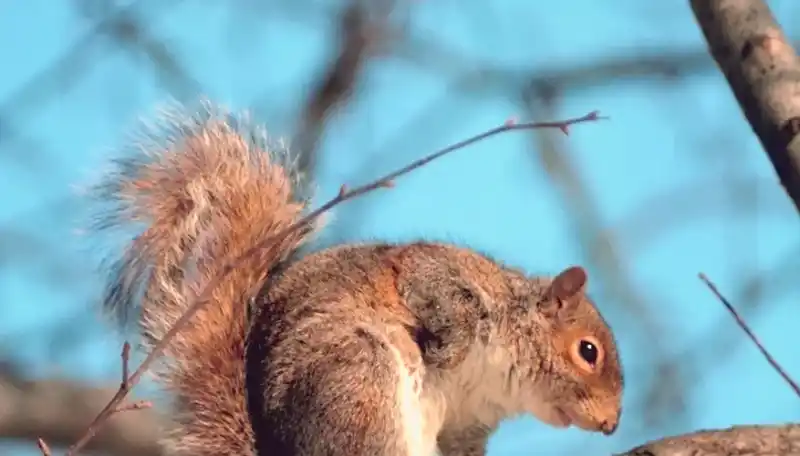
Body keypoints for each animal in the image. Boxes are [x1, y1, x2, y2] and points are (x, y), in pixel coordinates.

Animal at [89, 101, 624, 456]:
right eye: (588, 352)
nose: (612, 425)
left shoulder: (466, 428)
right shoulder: (442, 274)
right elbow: (443, 301)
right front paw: (445, 346)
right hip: (358, 380)